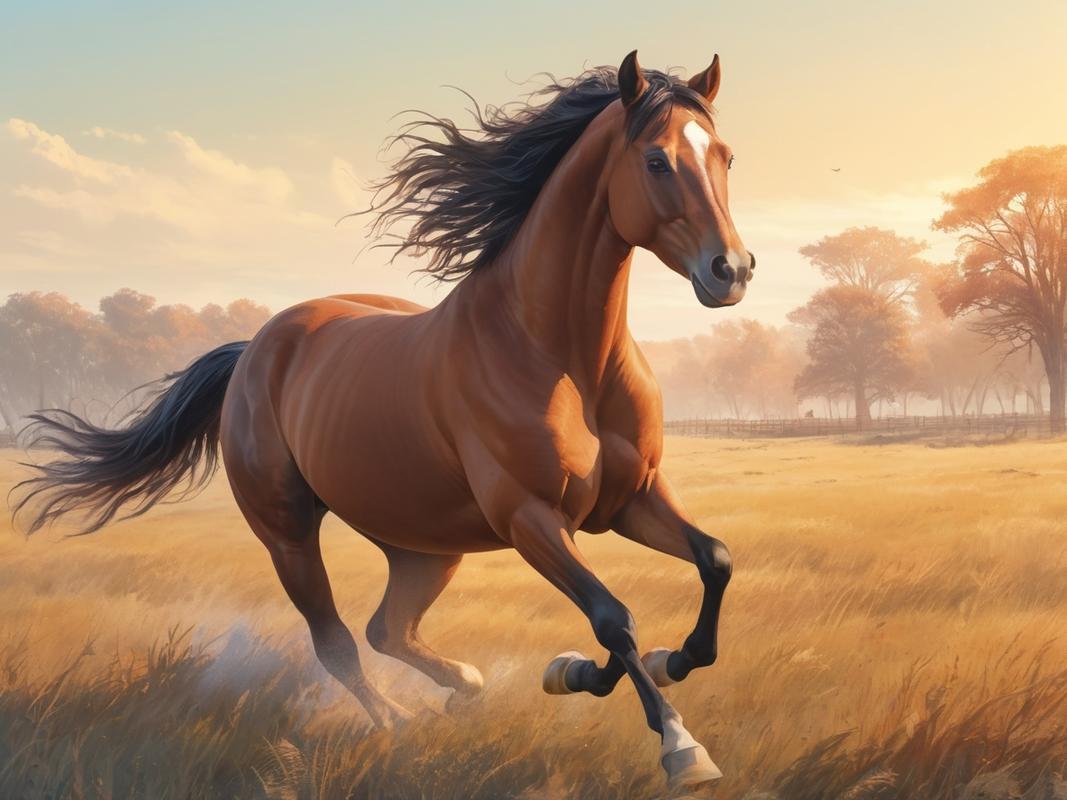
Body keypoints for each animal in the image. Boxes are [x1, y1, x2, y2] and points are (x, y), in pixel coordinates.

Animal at [14, 50, 754, 789]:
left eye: (725, 155)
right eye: (656, 161)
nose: (732, 271)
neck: (562, 358)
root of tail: (254, 348)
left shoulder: (631, 498)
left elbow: (713, 561)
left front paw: (629, 666)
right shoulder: (530, 517)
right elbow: (611, 617)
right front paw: (680, 745)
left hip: (424, 545)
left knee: (387, 630)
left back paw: (463, 686)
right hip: (288, 536)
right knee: (339, 642)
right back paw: (400, 724)